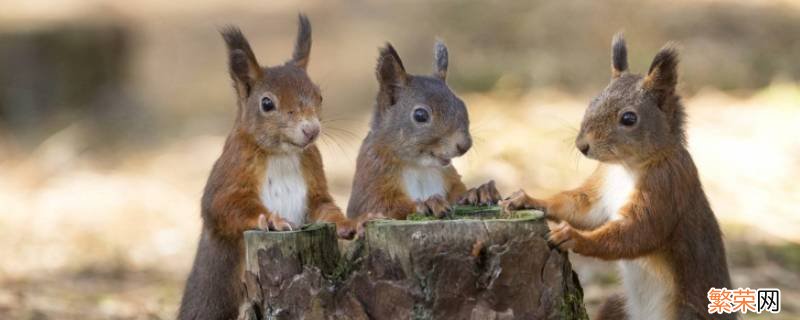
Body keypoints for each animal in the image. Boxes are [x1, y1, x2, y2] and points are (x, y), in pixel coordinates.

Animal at [179, 15, 362, 320]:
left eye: (319, 96)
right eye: (267, 103)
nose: (311, 130)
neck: (282, 154)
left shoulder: (313, 175)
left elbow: (324, 206)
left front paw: (347, 223)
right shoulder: (231, 171)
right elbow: (224, 206)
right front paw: (273, 220)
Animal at [348, 42, 504, 220]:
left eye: (462, 105)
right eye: (420, 115)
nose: (465, 145)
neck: (420, 167)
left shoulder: (450, 179)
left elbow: (458, 194)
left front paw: (479, 191)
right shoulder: (372, 182)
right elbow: (382, 208)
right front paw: (428, 203)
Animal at [504, 33, 736, 320]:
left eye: (628, 118)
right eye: (592, 101)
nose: (582, 145)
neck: (625, 167)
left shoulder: (666, 186)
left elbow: (637, 232)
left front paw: (573, 237)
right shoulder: (601, 188)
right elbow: (581, 207)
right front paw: (529, 199)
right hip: (617, 306)